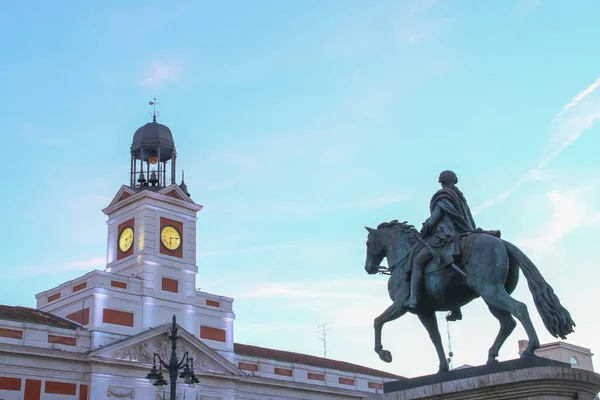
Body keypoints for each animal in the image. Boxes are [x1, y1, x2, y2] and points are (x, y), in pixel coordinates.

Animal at [364, 220, 576, 374]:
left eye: (367, 243)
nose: (368, 268)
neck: (404, 259)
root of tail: (501, 242)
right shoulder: (426, 312)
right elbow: (436, 337)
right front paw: (442, 369)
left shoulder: (401, 305)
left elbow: (377, 321)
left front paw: (384, 353)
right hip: (490, 296)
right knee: (507, 323)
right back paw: (491, 356)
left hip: (490, 290)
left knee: (519, 308)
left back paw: (530, 349)